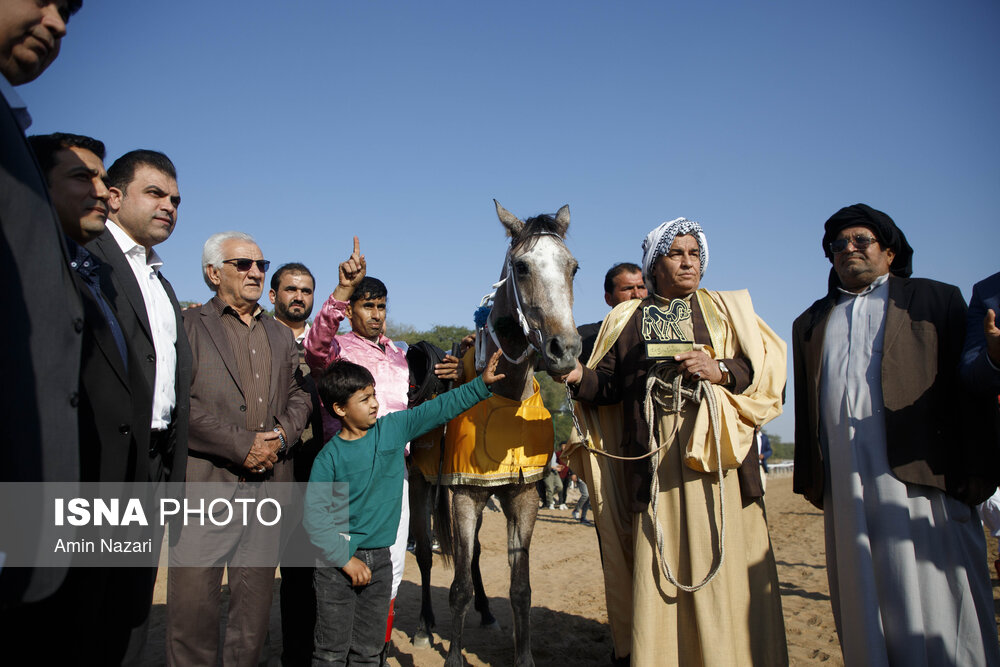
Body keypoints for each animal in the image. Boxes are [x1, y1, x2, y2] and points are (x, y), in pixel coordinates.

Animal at [406, 201, 580, 667]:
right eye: (521, 266)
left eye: (573, 267)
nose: (565, 350)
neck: (503, 394)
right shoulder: (463, 493)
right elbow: (458, 587)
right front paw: (453, 657)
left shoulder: (521, 495)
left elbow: (520, 587)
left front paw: (524, 656)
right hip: (421, 483)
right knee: (426, 551)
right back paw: (424, 627)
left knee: (475, 556)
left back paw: (485, 612)